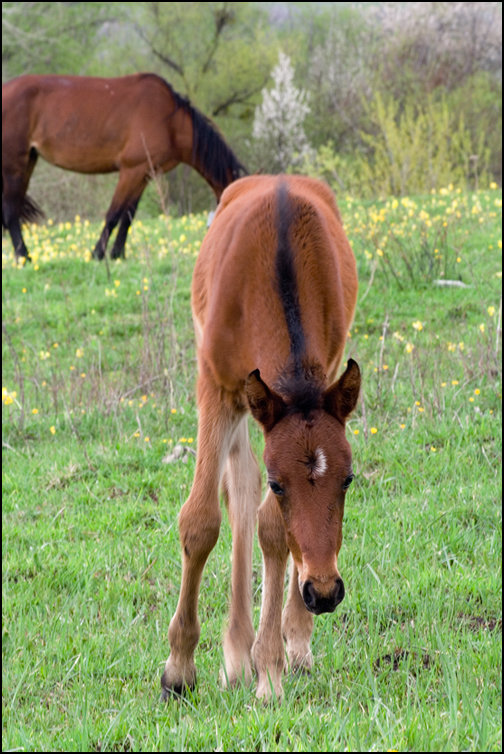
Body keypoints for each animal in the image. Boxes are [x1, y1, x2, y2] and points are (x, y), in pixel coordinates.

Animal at [1, 73, 246, 260]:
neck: (170, 122)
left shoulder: (144, 174)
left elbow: (128, 216)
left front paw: (117, 254)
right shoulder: (130, 171)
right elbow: (113, 214)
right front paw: (97, 254)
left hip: (28, 162)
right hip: (14, 166)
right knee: (11, 211)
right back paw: (24, 257)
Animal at [162, 172, 362, 700]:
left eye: (348, 480)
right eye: (280, 482)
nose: (325, 592)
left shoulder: (319, 373)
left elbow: (275, 529)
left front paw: (271, 666)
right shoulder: (216, 387)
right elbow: (201, 521)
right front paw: (179, 669)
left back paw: (285, 646)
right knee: (239, 487)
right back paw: (235, 653)